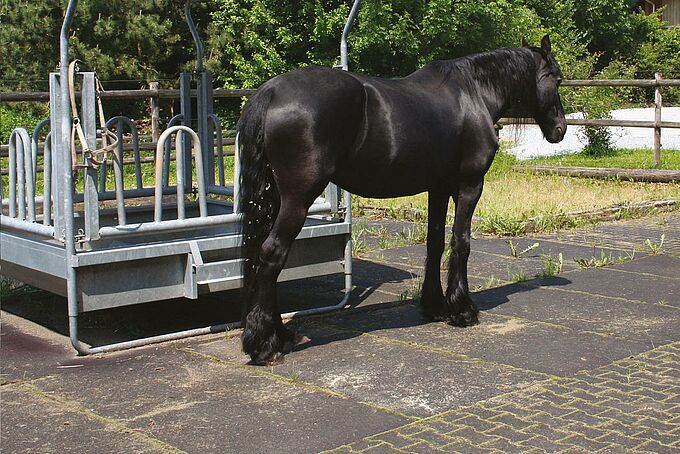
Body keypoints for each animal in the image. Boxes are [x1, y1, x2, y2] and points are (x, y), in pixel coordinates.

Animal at [236, 35, 564, 364]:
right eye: (556, 78)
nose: (560, 129)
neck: (474, 94)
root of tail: (271, 91)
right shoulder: (470, 185)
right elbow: (461, 242)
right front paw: (462, 310)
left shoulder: (438, 188)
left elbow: (435, 243)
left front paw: (434, 306)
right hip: (298, 200)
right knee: (272, 253)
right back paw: (264, 345)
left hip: (276, 198)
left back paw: (280, 335)